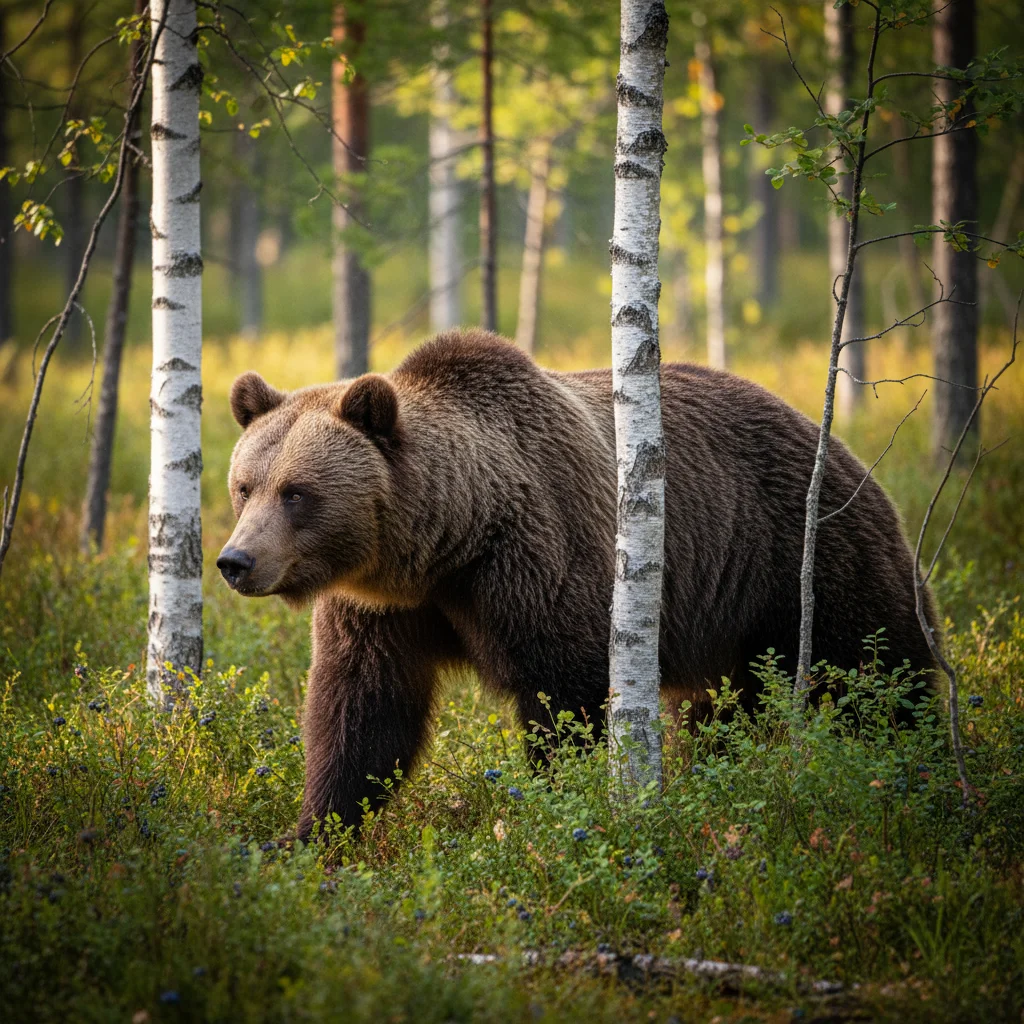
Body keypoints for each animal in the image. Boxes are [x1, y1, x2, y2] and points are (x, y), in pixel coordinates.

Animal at [218, 329, 936, 840]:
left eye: (297, 492)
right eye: (245, 486)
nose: (235, 560)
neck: (447, 547)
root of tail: (834, 441)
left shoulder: (539, 565)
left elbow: (564, 701)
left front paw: (553, 810)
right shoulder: (382, 611)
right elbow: (362, 714)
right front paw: (309, 834)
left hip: (805, 560)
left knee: (880, 673)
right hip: (728, 627)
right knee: (722, 712)